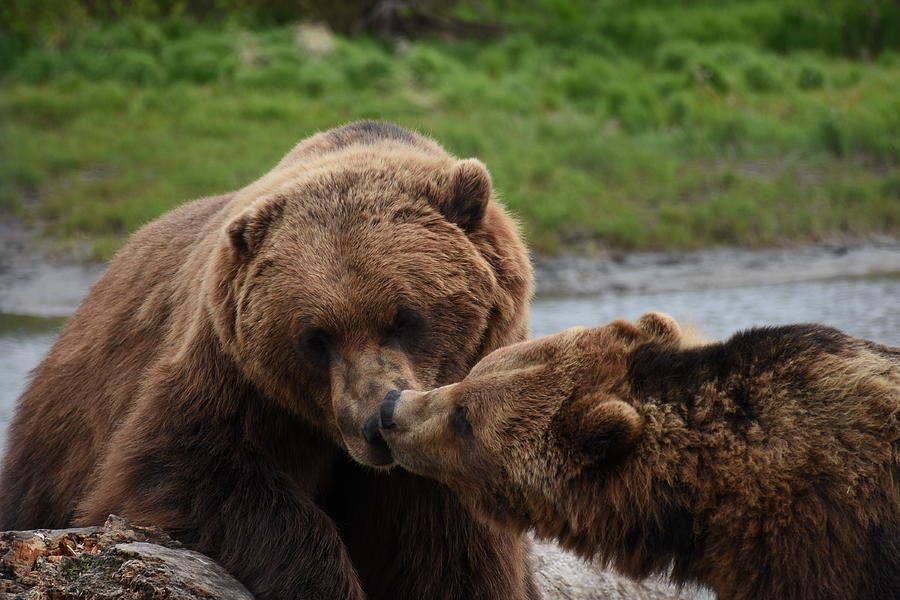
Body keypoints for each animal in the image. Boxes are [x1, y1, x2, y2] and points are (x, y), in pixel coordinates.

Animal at [0, 120, 536, 600]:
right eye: (315, 338)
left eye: (405, 318)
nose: (375, 423)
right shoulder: (234, 376)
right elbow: (185, 473)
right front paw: (324, 582)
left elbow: (450, 550)